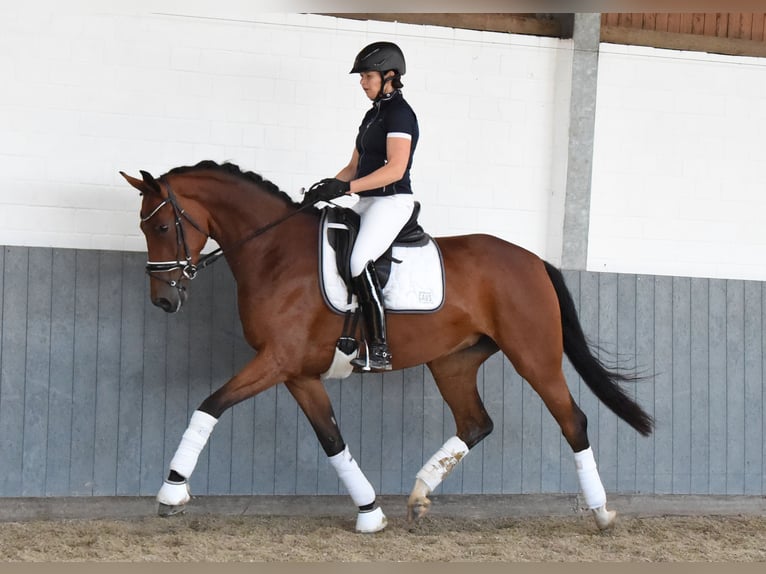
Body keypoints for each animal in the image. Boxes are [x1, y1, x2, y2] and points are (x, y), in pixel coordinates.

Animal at [120, 159, 656, 536]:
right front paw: (370, 514)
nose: (164, 300)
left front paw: (171, 492)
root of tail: (534, 260)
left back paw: (602, 514)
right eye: (145, 228)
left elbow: (209, 405)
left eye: (162, 227)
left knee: (573, 421)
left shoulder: (275, 361)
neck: (274, 253)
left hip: (535, 357)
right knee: (475, 423)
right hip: (453, 362)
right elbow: (333, 441)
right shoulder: (299, 373)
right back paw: (418, 497)